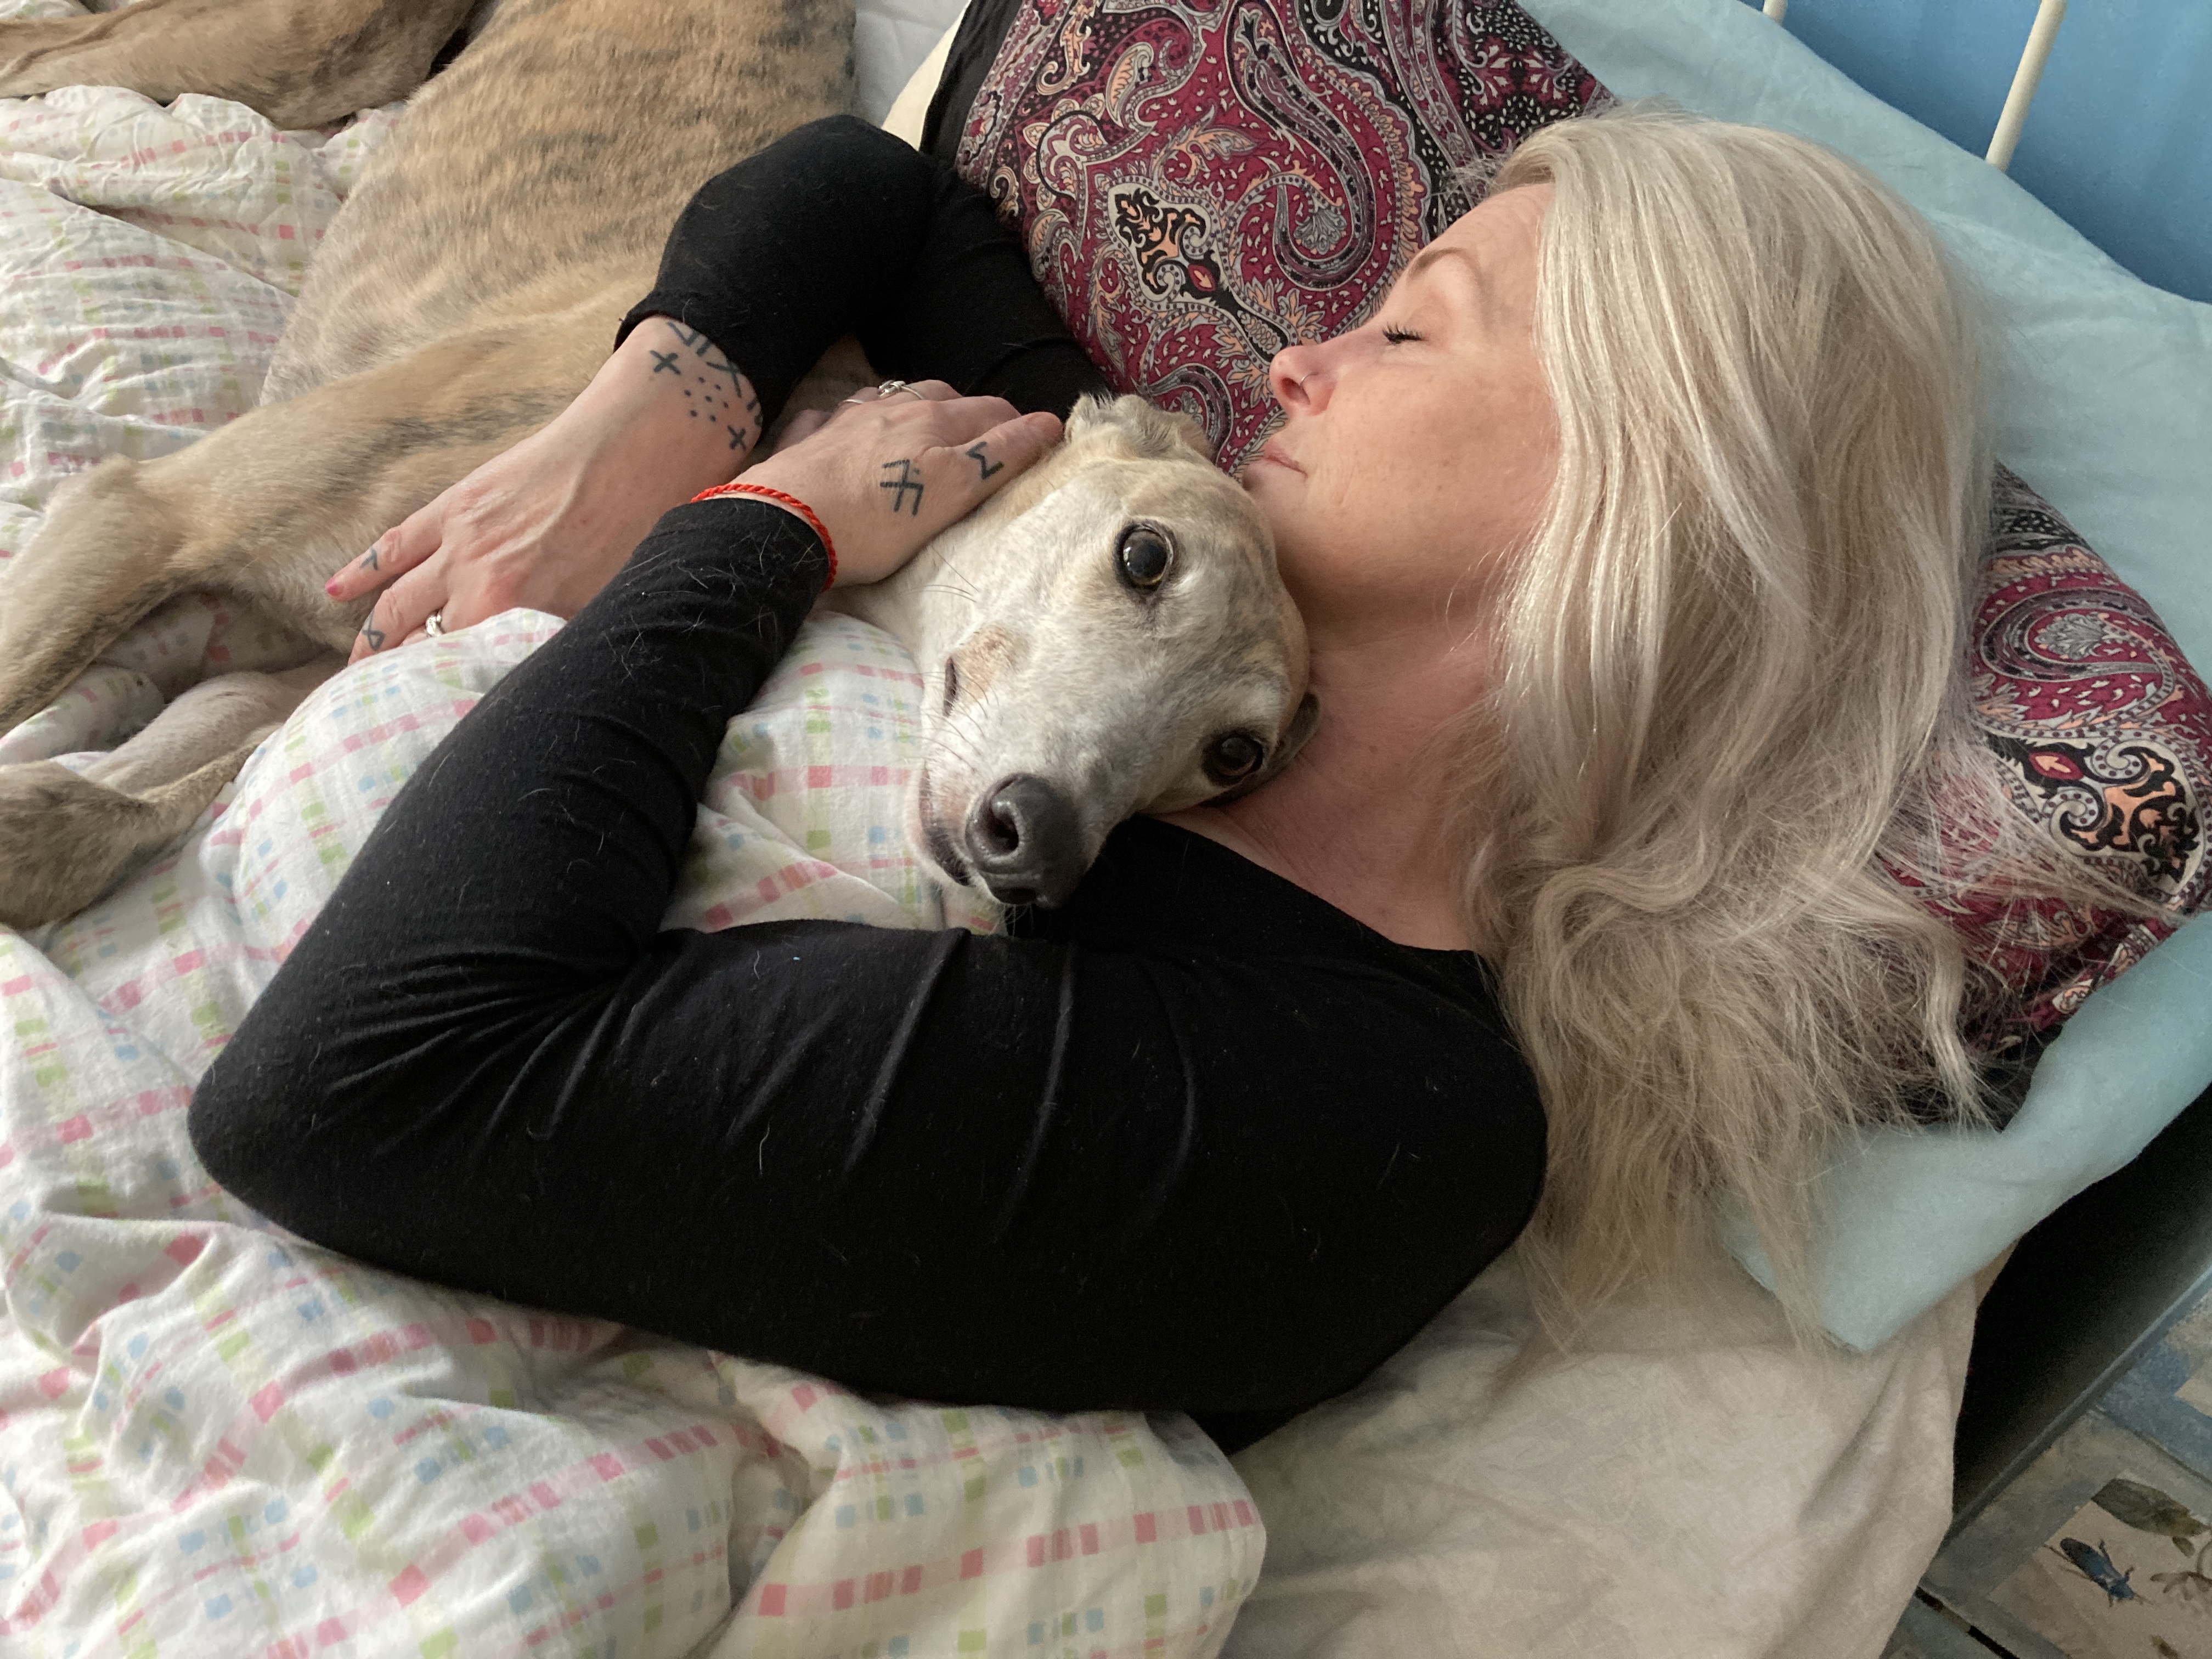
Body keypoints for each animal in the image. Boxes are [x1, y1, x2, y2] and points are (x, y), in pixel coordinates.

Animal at [0, 0, 1311, 925]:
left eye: (1234, 758)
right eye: (1145, 556)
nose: (1037, 847)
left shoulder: (295, 668)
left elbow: (172, 781)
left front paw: (54, 815)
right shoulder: (145, 507)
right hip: (314, 41)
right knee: (51, 46)